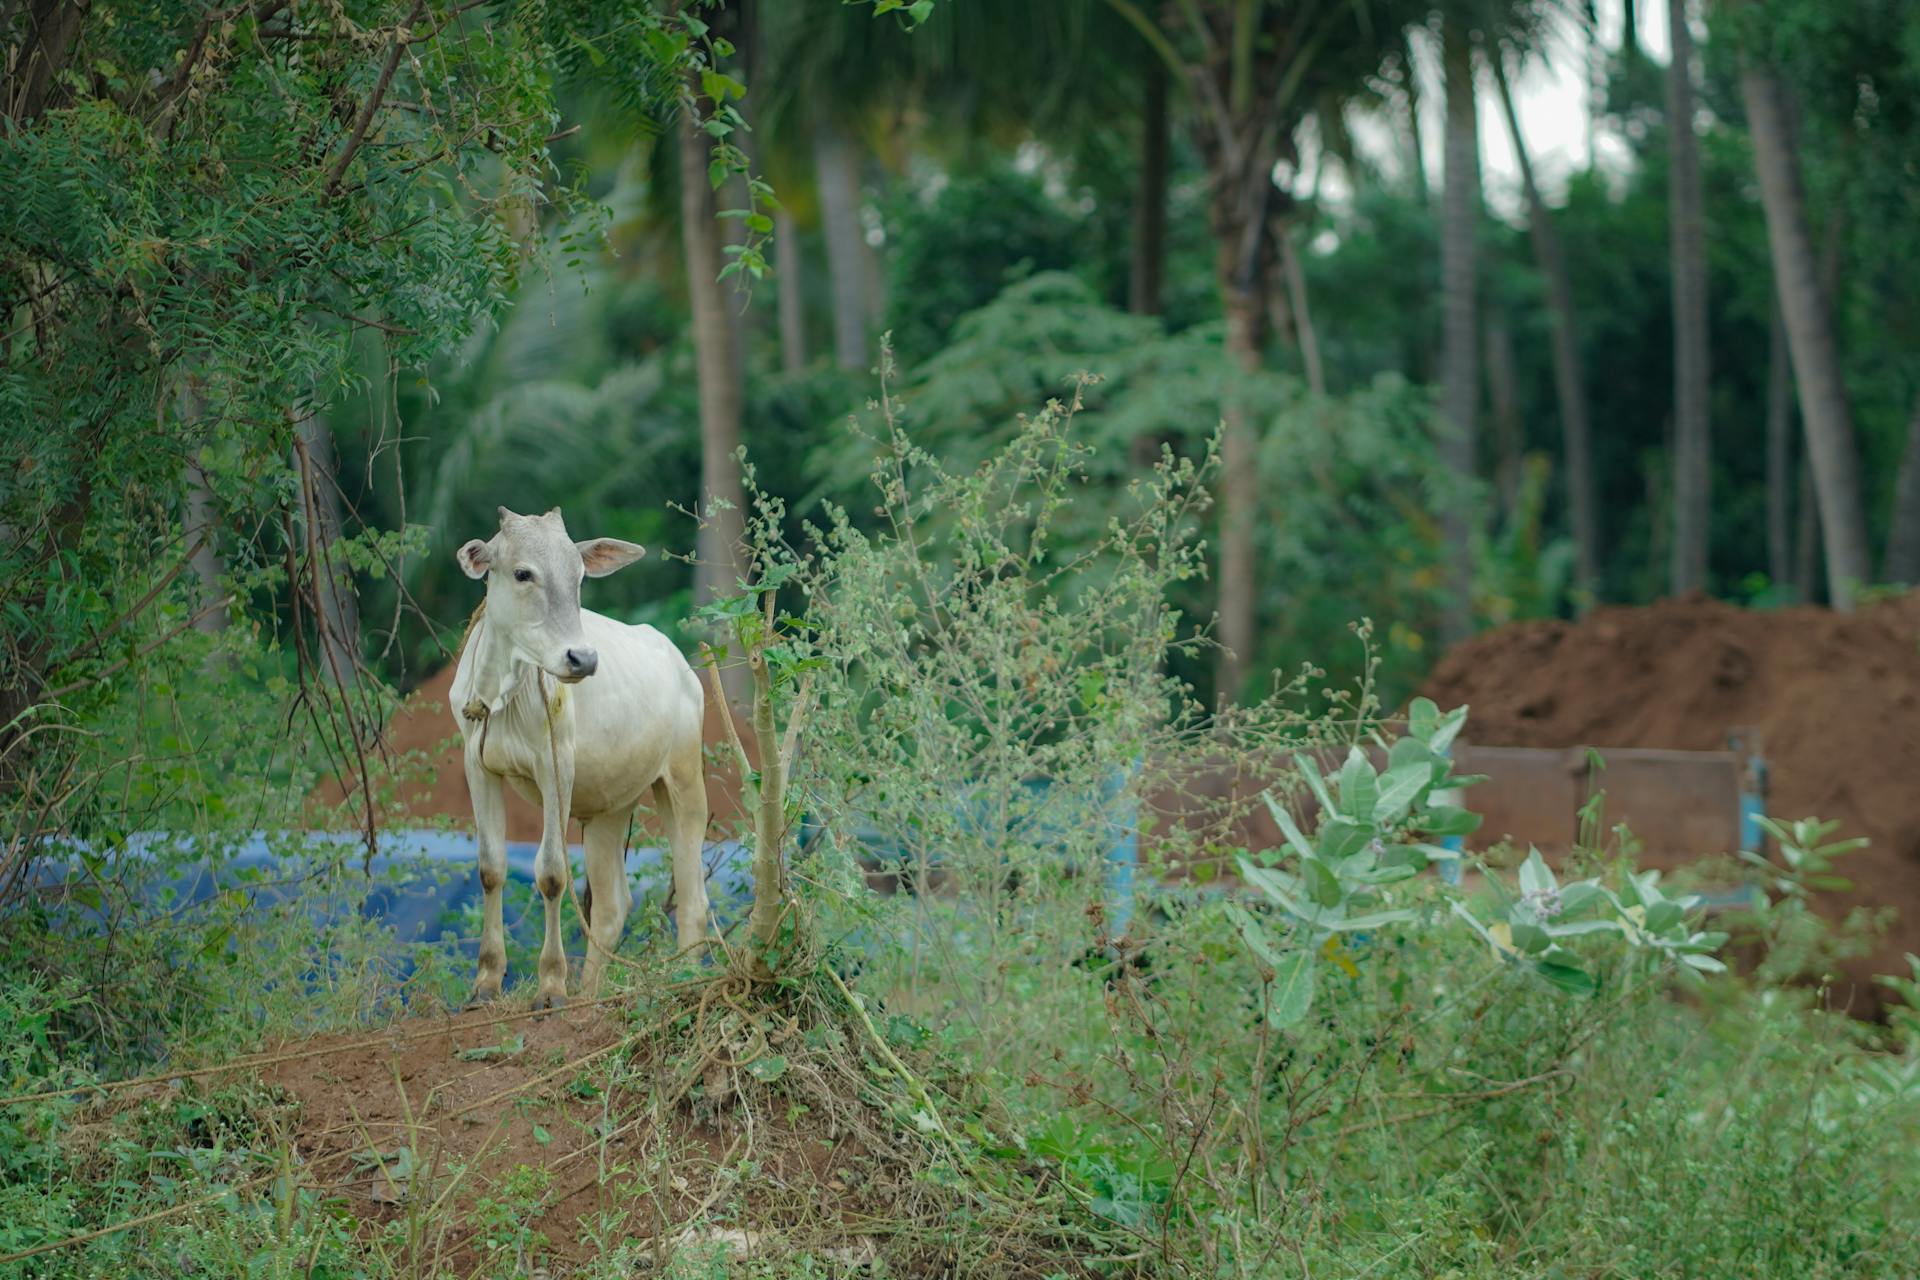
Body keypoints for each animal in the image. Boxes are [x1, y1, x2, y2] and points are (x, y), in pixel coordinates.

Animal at [449, 506, 714, 1005]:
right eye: (523, 573)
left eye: (579, 577)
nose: (583, 659)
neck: (505, 690)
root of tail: (682, 665)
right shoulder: (476, 766)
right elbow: (491, 868)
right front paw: (485, 982)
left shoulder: (557, 767)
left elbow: (551, 873)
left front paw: (551, 985)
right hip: (612, 809)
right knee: (612, 906)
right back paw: (591, 993)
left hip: (684, 781)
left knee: (692, 898)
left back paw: (683, 980)